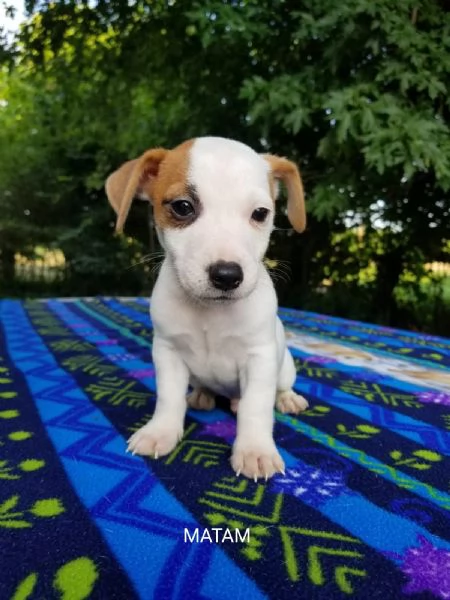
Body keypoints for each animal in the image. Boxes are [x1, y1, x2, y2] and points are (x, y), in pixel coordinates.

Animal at [106, 138, 310, 480]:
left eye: (260, 213)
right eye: (182, 207)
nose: (227, 275)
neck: (209, 313)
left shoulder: (260, 358)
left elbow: (256, 407)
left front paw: (255, 450)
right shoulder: (167, 352)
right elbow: (168, 398)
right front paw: (160, 431)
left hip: (283, 369)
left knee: (276, 390)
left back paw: (287, 399)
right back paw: (202, 395)